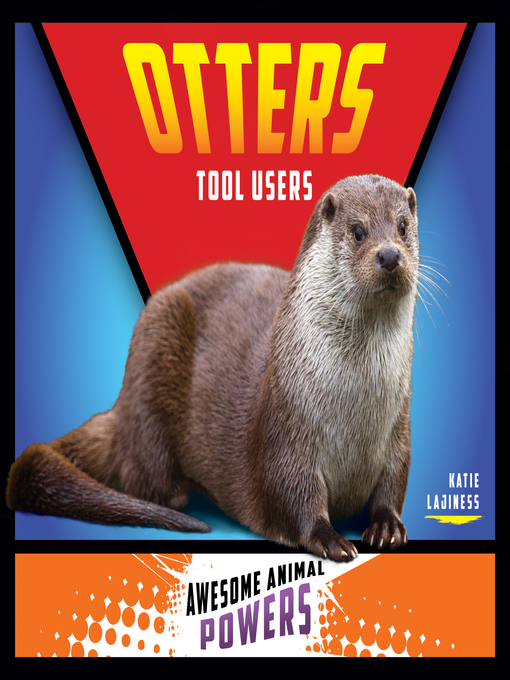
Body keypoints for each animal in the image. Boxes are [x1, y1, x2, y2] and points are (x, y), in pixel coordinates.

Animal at [8, 174, 419, 562]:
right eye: (358, 231)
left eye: (402, 226)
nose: (389, 255)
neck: (356, 417)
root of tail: (120, 411)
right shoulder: (286, 433)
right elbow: (291, 496)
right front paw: (330, 538)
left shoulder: (399, 430)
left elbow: (394, 481)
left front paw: (386, 526)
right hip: (155, 345)